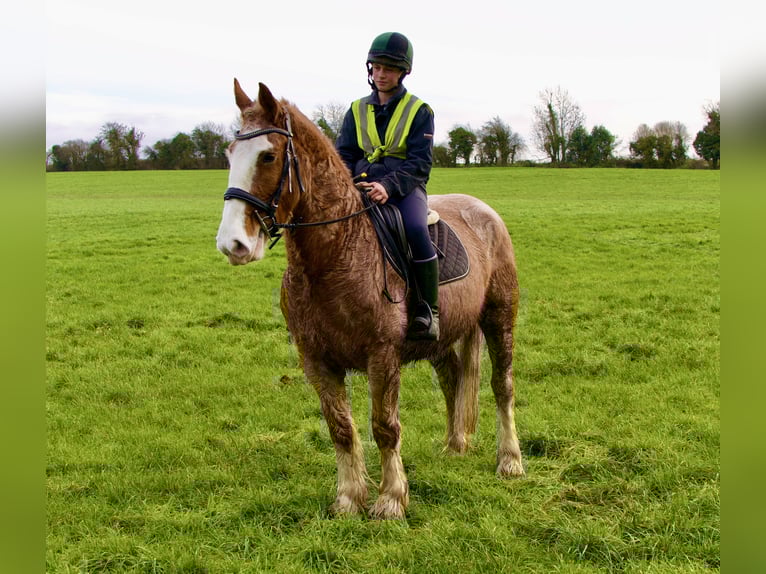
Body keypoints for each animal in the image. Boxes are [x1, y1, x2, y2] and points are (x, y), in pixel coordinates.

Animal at [216, 80, 524, 519]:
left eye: (268, 155)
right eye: (229, 154)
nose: (233, 244)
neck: (336, 254)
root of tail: (483, 210)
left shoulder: (382, 356)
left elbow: (384, 426)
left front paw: (391, 499)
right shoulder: (317, 360)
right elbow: (340, 428)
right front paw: (348, 499)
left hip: (499, 318)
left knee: (502, 385)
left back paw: (510, 460)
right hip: (442, 337)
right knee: (452, 378)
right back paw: (454, 445)